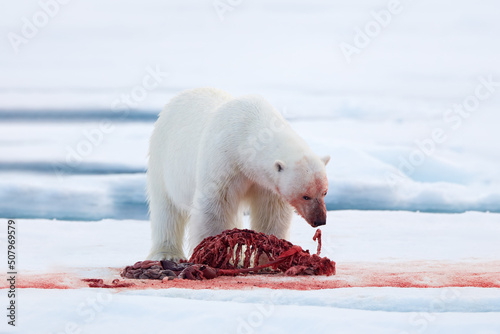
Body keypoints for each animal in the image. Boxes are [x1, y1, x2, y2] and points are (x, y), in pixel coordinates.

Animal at [146, 88, 330, 260]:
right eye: (305, 196)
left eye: (324, 192)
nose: (320, 220)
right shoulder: (225, 162)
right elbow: (214, 206)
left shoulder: (265, 183)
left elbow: (271, 213)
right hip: (162, 157)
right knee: (166, 209)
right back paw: (167, 254)